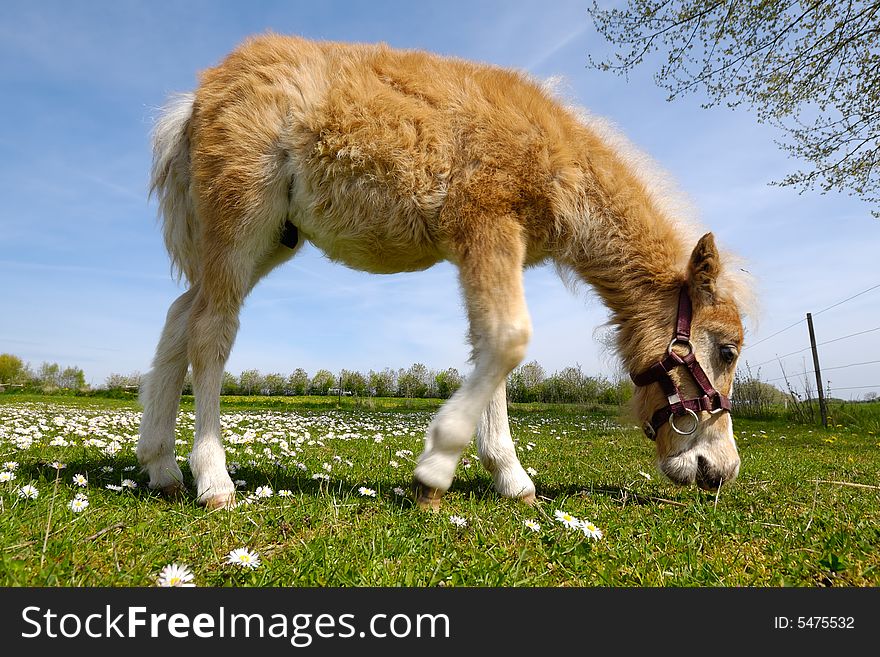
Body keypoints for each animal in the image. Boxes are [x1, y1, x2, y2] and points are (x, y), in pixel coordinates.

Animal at [138, 33, 748, 510]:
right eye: (726, 350)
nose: (720, 472)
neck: (552, 153)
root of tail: (195, 98)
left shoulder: (492, 245)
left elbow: (488, 347)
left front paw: (511, 479)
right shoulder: (486, 225)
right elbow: (508, 338)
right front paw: (434, 471)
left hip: (270, 239)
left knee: (180, 316)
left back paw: (161, 466)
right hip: (241, 216)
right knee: (210, 330)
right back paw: (213, 479)